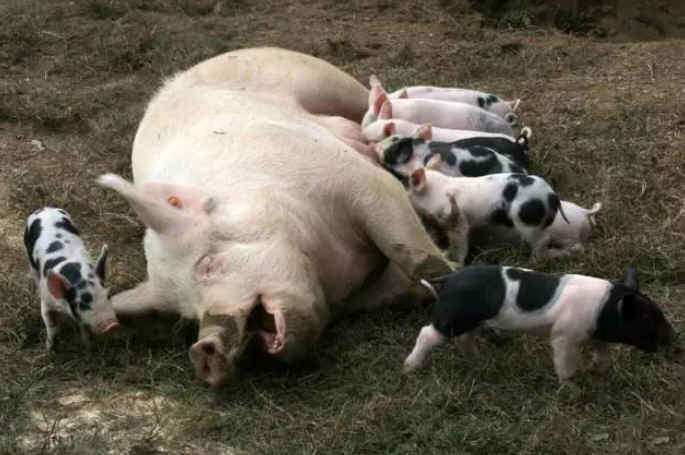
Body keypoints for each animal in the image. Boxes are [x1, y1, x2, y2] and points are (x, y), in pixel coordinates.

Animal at [23, 207, 119, 349]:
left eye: (108, 296)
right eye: (82, 304)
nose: (112, 325)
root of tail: (44, 208)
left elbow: (82, 326)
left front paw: (87, 344)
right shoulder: (47, 301)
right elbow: (50, 326)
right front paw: (49, 347)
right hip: (29, 258)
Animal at [98, 47, 452, 388]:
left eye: (207, 264)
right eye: (187, 315)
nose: (202, 351)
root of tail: (173, 80)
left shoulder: (352, 178)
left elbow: (406, 244)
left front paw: (445, 278)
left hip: (323, 78)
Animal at [403, 265, 675, 384]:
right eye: (646, 319)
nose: (673, 338)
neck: (605, 308)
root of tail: (450, 278)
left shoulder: (596, 336)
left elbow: (603, 355)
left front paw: (602, 373)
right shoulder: (563, 337)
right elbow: (565, 364)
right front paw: (570, 388)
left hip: (470, 321)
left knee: (464, 339)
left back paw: (478, 362)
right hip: (452, 317)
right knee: (427, 334)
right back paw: (409, 368)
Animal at [407, 169, 568, 264]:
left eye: (405, 182)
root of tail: (552, 195)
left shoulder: (457, 220)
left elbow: (460, 240)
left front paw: (456, 261)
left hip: (529, 223)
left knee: (543, 241)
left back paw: (532, 262)